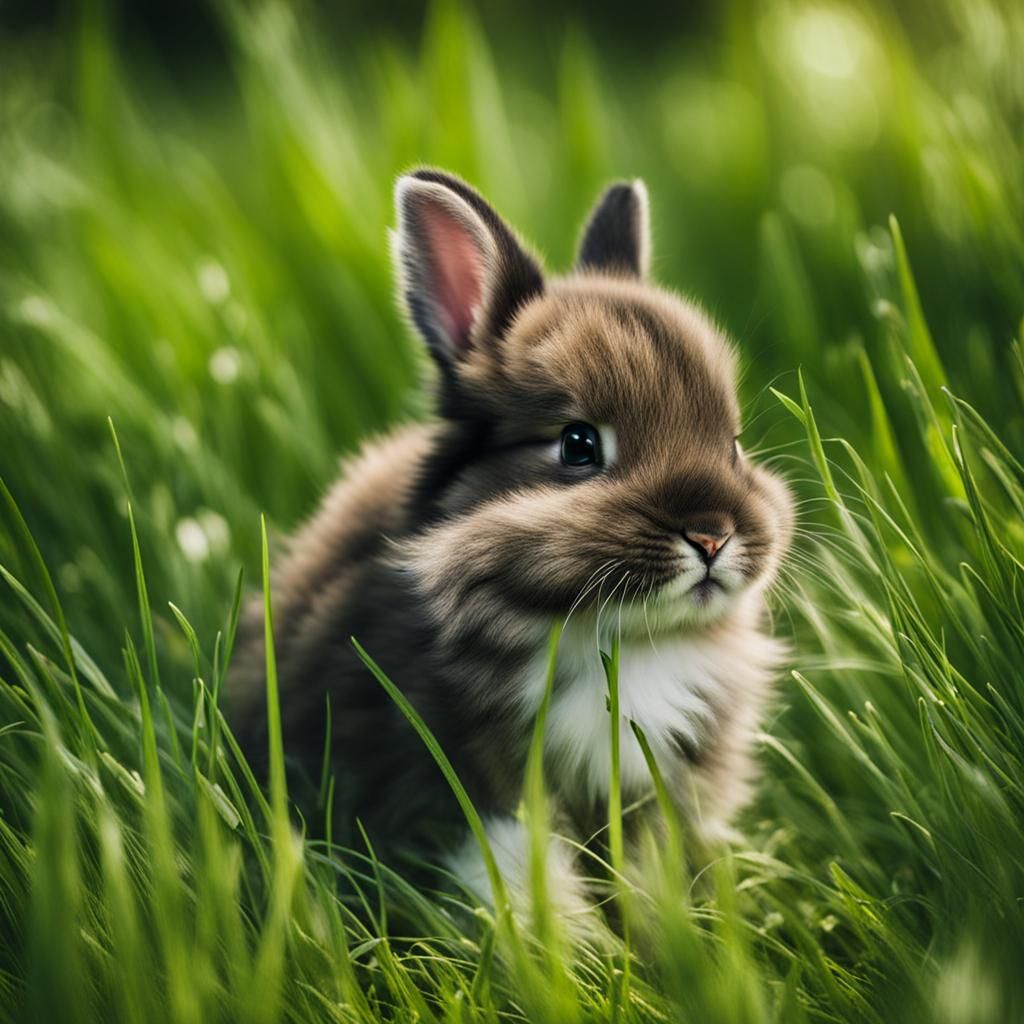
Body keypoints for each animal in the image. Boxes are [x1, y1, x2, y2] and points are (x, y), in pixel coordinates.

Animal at [229, 168, 794, 907]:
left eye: (732, 444)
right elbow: (521, 865)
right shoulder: (478, 780)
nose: (712, 536)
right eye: (579, 446)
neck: (612, 635)